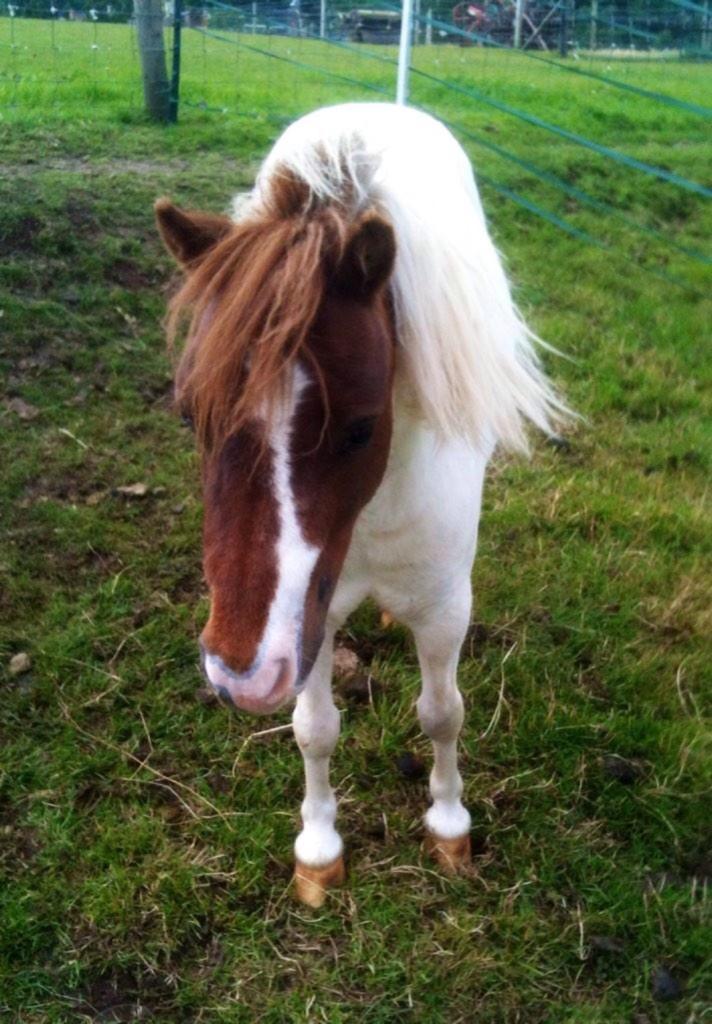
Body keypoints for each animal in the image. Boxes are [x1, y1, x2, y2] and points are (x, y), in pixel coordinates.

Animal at [155, 102, 564, 908]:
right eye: (189, 416)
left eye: (361, 427)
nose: (240, 676)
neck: (370, 518)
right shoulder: (310, 614)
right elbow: (315, 727)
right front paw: (318, 850)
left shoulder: (445, 606)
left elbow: (442, 713)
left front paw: (449, 826)